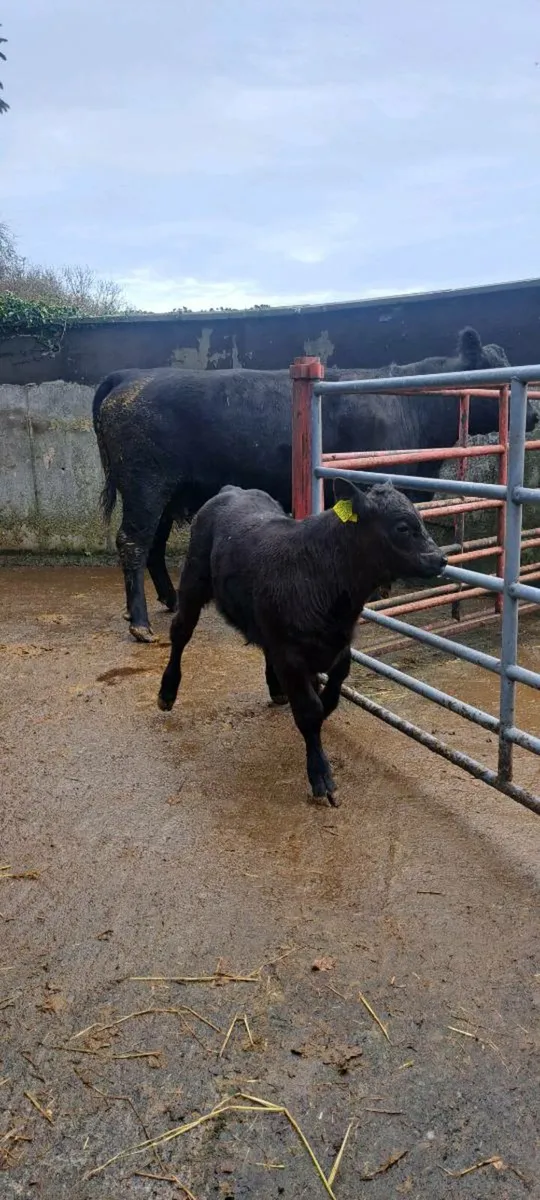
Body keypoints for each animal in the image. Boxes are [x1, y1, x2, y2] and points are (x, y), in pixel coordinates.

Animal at [92, 327, 528, 643]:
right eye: (494, 367)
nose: (534, 414)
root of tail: (132, 375)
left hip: (165, 493)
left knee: (153, 544)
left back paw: (165, 601)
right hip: (145, 486)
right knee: (133, 542)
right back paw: (141, 624)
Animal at [157, 480, 446, 806]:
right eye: (402, 527)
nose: (441, 559)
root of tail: (233, 489)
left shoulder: (340, 643)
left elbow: (334, 687)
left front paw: (324, 706)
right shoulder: (291, 655)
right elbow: (309, 711)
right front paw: (320, 775)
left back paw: (275, 689)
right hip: (193, 580)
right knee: (181, 631)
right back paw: (167, 692)